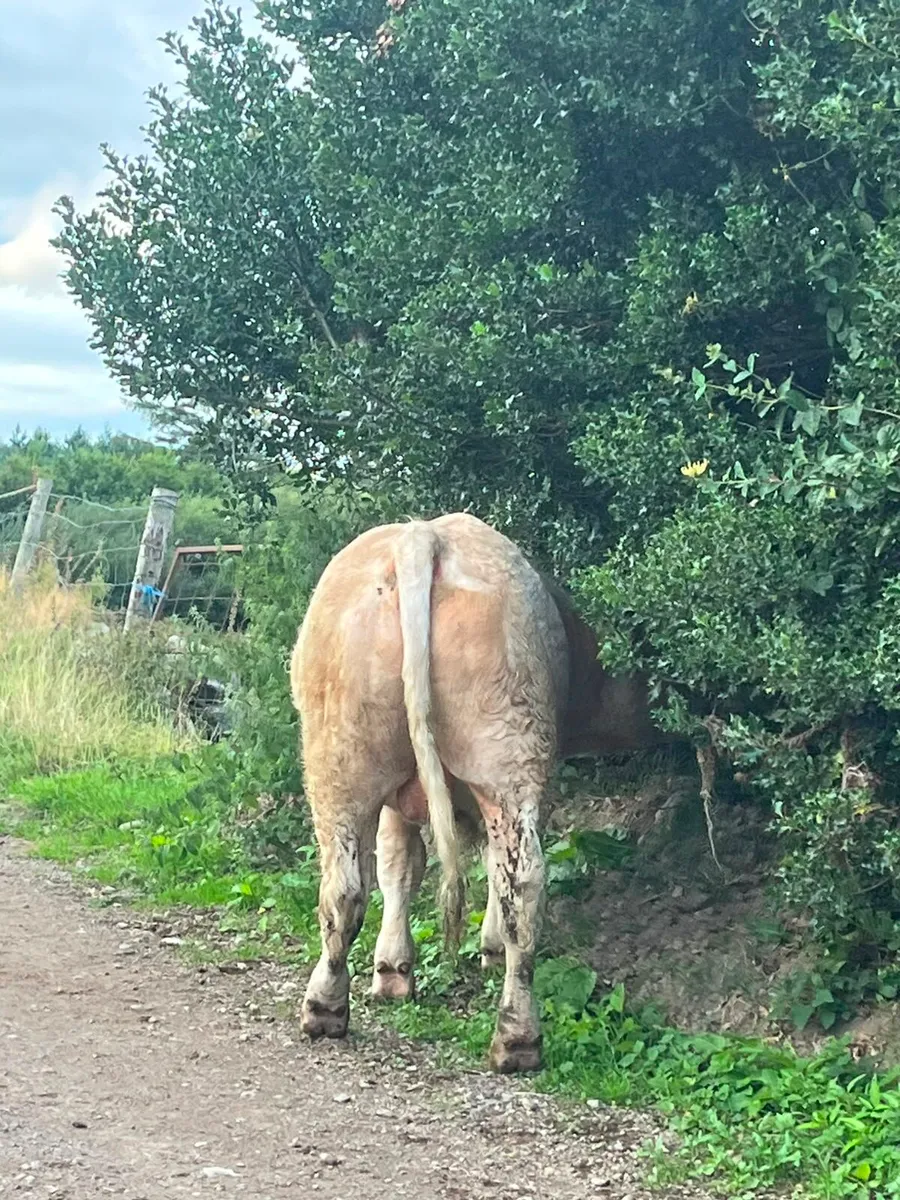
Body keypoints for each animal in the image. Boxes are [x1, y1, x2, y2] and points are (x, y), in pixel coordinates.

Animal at [289, 512, 670, 1073]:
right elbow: (417, 865)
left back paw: (330, 1007)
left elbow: (399, 865)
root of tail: (423, 535)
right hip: (481, 755)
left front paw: (393, 971)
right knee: (518, 884)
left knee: (351, 886)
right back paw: (514, 1037)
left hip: (358, 758)